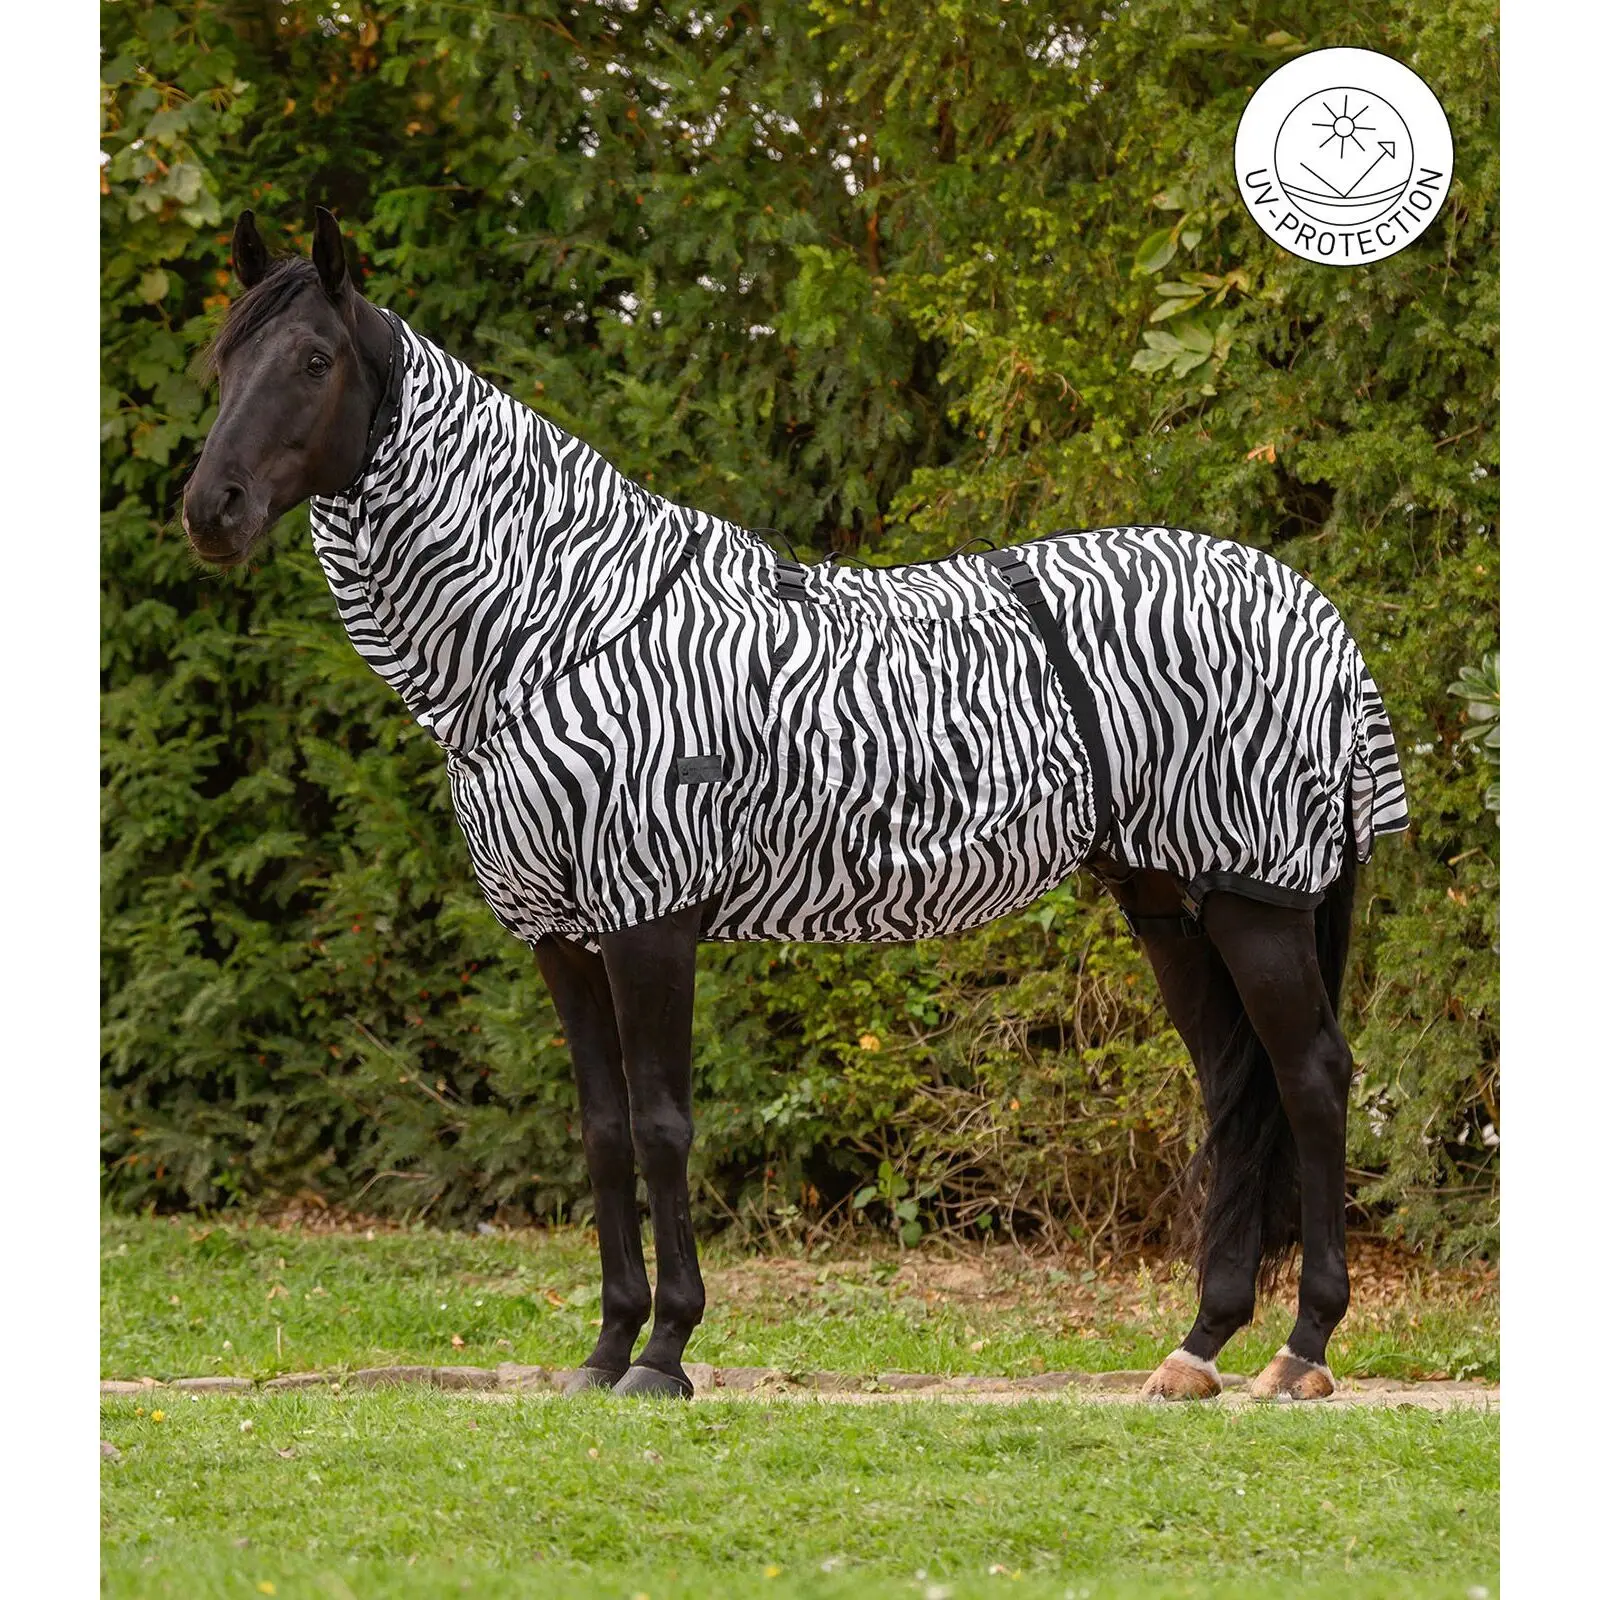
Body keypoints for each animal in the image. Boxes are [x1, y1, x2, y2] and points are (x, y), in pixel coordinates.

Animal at [180, 206, 1409, 1403]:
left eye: (313, 359)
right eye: (224, 358)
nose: (209, 511)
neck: (558, 624)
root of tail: (1315, 611)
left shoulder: (650, 916)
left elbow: (664, 1127)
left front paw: (665, 1353)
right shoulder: (559, 936)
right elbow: (602, 1132)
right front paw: (604, 1350)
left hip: (1255, 896)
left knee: (1310, 1077)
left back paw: (1301, 1350)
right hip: (1169, 901)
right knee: (1235, 1089)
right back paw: (1199, 1348)